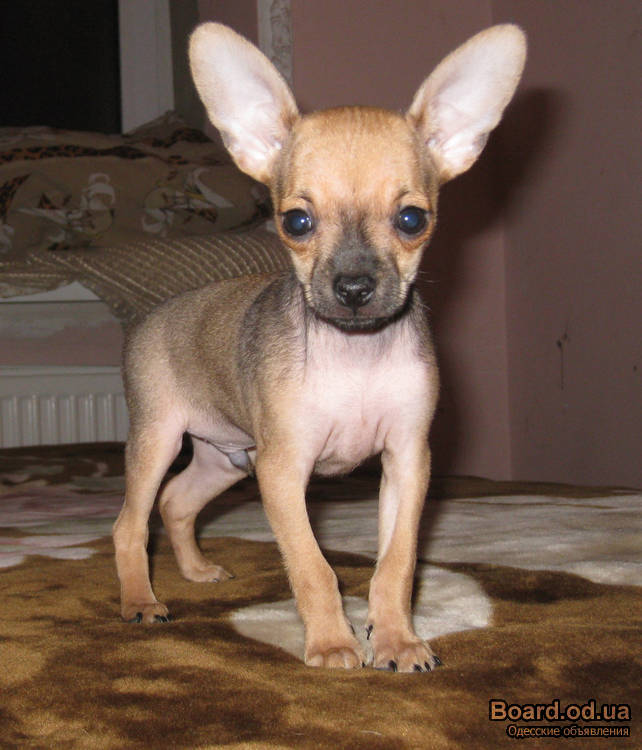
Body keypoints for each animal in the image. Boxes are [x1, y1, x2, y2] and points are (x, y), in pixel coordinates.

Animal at [113, 22, 526, 671]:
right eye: (296, 223)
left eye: (413, 219)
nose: (354, 287)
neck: (354, 358)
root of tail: (151, 314)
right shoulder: (284, 472)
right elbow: (313, 566)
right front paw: (333, 642)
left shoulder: (407, 463)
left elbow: (396, 563)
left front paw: (395, 638)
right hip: (159, 440)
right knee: (130, 523)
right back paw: (141, 600)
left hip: (225, 457)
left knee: (176, 503)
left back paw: (197, 570)